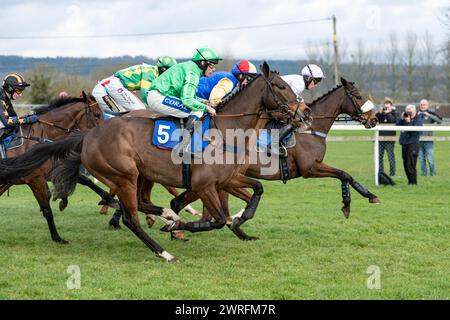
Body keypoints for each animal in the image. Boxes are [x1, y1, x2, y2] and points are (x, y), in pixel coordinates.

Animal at [0, 92, 103, 242]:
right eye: (96, 114)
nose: (102, 137)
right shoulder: (35, 179)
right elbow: (47, 210)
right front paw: (57, 237)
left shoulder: (49, 172)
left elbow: (86, 181)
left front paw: (110, 200)